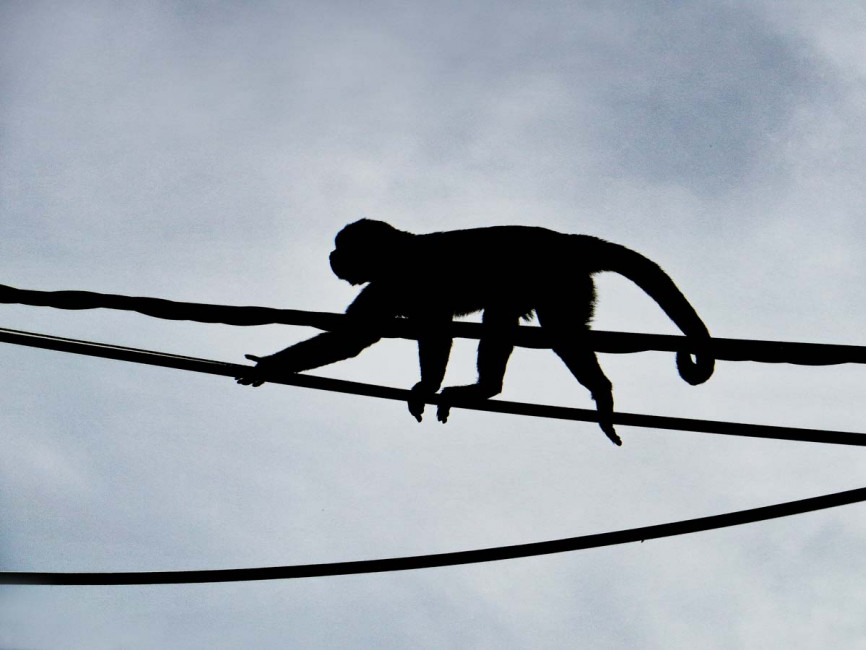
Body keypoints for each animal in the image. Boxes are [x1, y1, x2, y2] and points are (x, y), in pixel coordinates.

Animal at [233, 220, 712, 442]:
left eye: (342, 247)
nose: (333, 257)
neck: (399, 253)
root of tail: (565, 240)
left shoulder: (403, 279)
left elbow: (401, 332)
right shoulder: (392, 285)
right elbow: (380, 333)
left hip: (557, 279)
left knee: (544, 327)